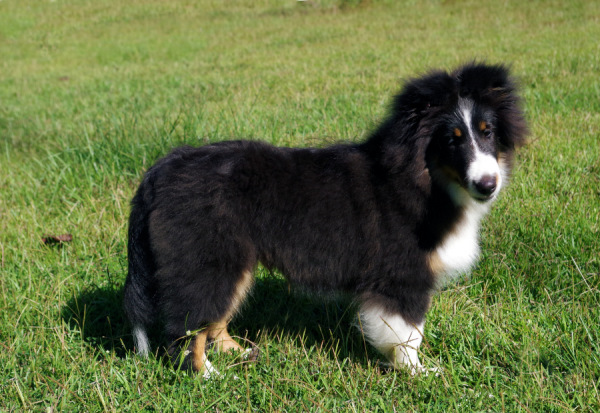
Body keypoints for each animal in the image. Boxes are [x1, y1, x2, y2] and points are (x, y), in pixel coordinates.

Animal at [124, 62, 528, 374]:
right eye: (451, 139)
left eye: (488, 132)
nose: (488, 184)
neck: (425, 180)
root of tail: (162, 169)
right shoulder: (402, 277)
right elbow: (409, 333)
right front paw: (418, 373)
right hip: (208, 259)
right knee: (187, 327)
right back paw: (210, 376)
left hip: (232, 262)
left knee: (213, 320)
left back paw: (242, 354)